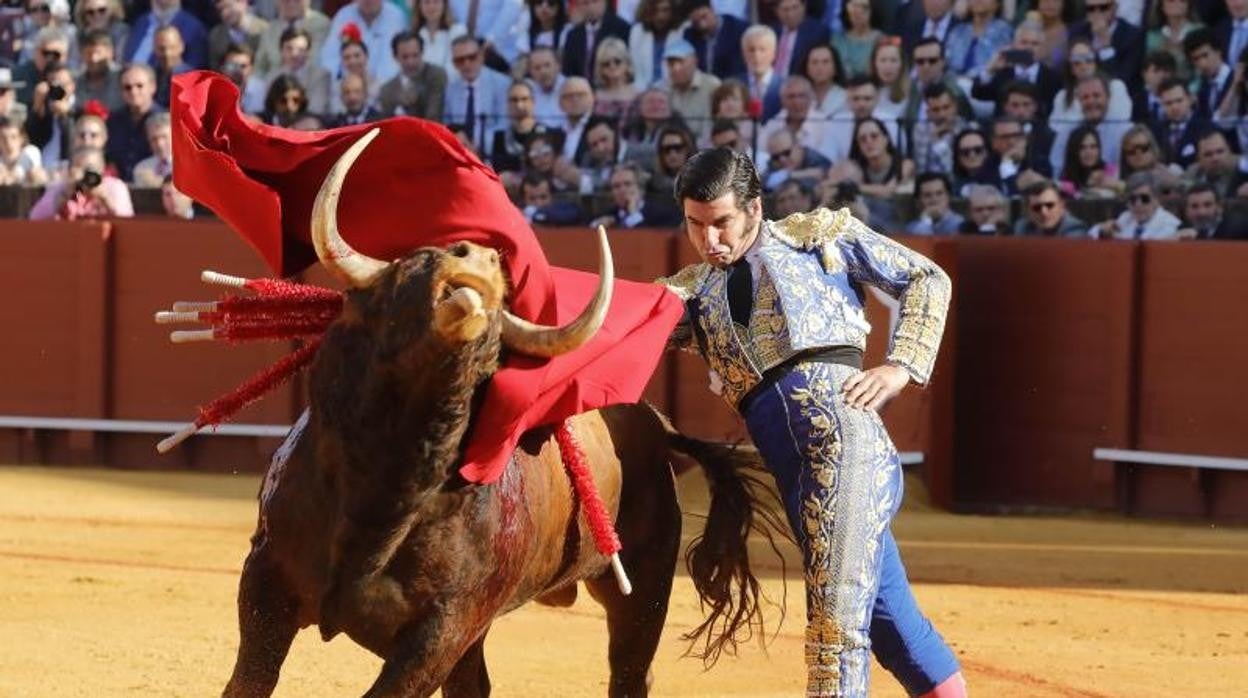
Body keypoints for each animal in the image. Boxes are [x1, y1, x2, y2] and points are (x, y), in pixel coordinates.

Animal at [219, 131, 773, 698]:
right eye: (411, 266)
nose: (483, 259)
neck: (383, 488)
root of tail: (658, 424)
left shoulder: (442, 631)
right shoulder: (264, 583)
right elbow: (248, 681)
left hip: (643, 584)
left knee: (629, 670)